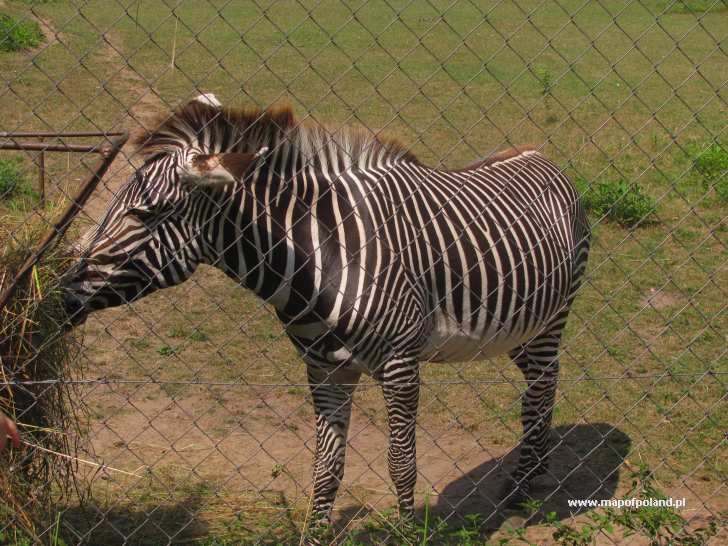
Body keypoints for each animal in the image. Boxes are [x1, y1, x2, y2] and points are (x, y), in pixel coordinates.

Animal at [62, 94, 592, 528]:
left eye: (145, 213)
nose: (63, 294)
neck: (320, 259)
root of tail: (541, 155)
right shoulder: (325, 368)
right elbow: (326, 468)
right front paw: (316, 533)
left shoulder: (400, 364)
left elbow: (402, 463)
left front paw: (408, 532)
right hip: (521, 327)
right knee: (539, 387)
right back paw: (532, 472)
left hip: (554, 315)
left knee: (542, 389)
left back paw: (523, 489)